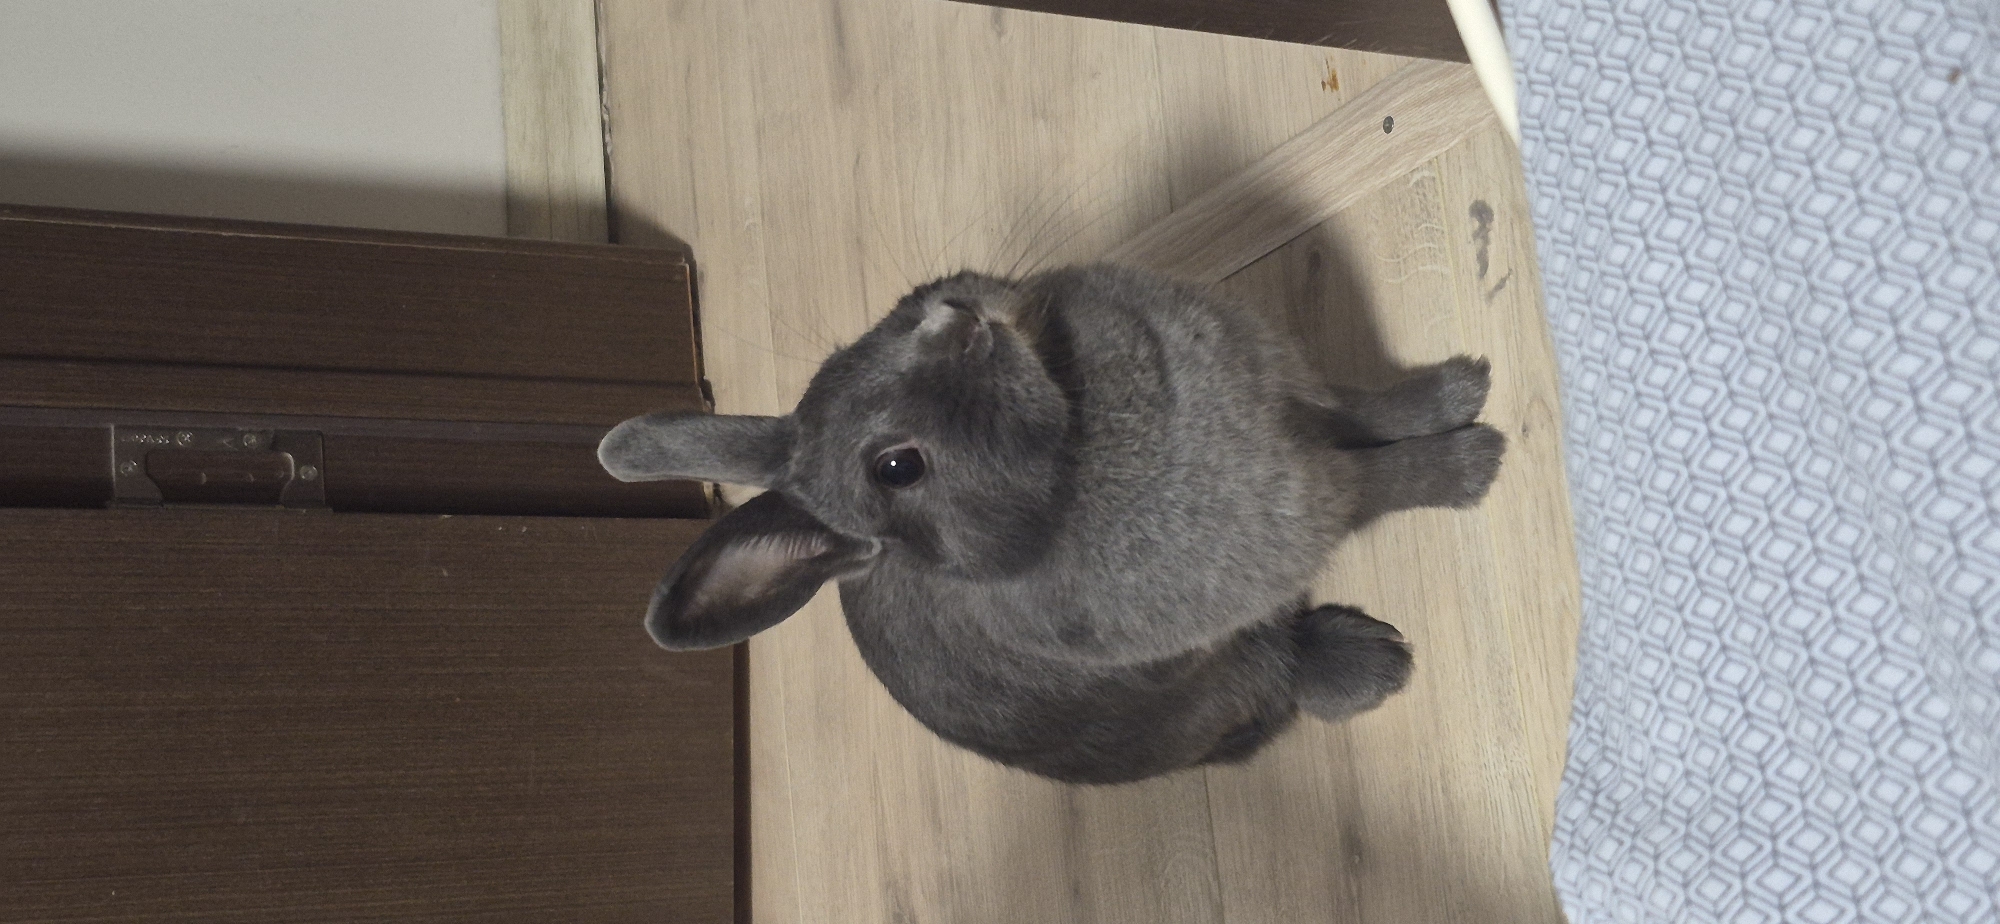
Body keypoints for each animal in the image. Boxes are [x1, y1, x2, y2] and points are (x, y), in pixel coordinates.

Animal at [598, 263, 1503, 784]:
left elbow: (1364, 409)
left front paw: (1460, 386)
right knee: (1280, 675)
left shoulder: (1291, 398)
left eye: (846, 356)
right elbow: (1379, 479)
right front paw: (1477, 464)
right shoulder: (1303, 495)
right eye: (896, 469)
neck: (1074, 431)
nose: (955, 318)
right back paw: (1375, 663)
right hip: (1228, 678)